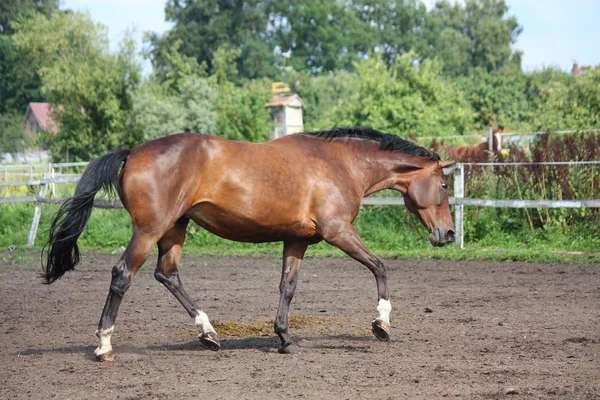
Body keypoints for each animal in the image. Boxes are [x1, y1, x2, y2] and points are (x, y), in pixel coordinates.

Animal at [42, 127, 454, 360]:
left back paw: (209, 334)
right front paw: (382, 324)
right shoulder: (337, 230)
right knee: (123, 274)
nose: (448, 234)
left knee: (168, 275)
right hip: (149, 231)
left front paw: (285, 338)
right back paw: (105, 345)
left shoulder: (297, 240)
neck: (339, 163)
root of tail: (132, 152)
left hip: (174, 230)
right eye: (445, 184)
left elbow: (288, 287)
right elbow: (380, 266)